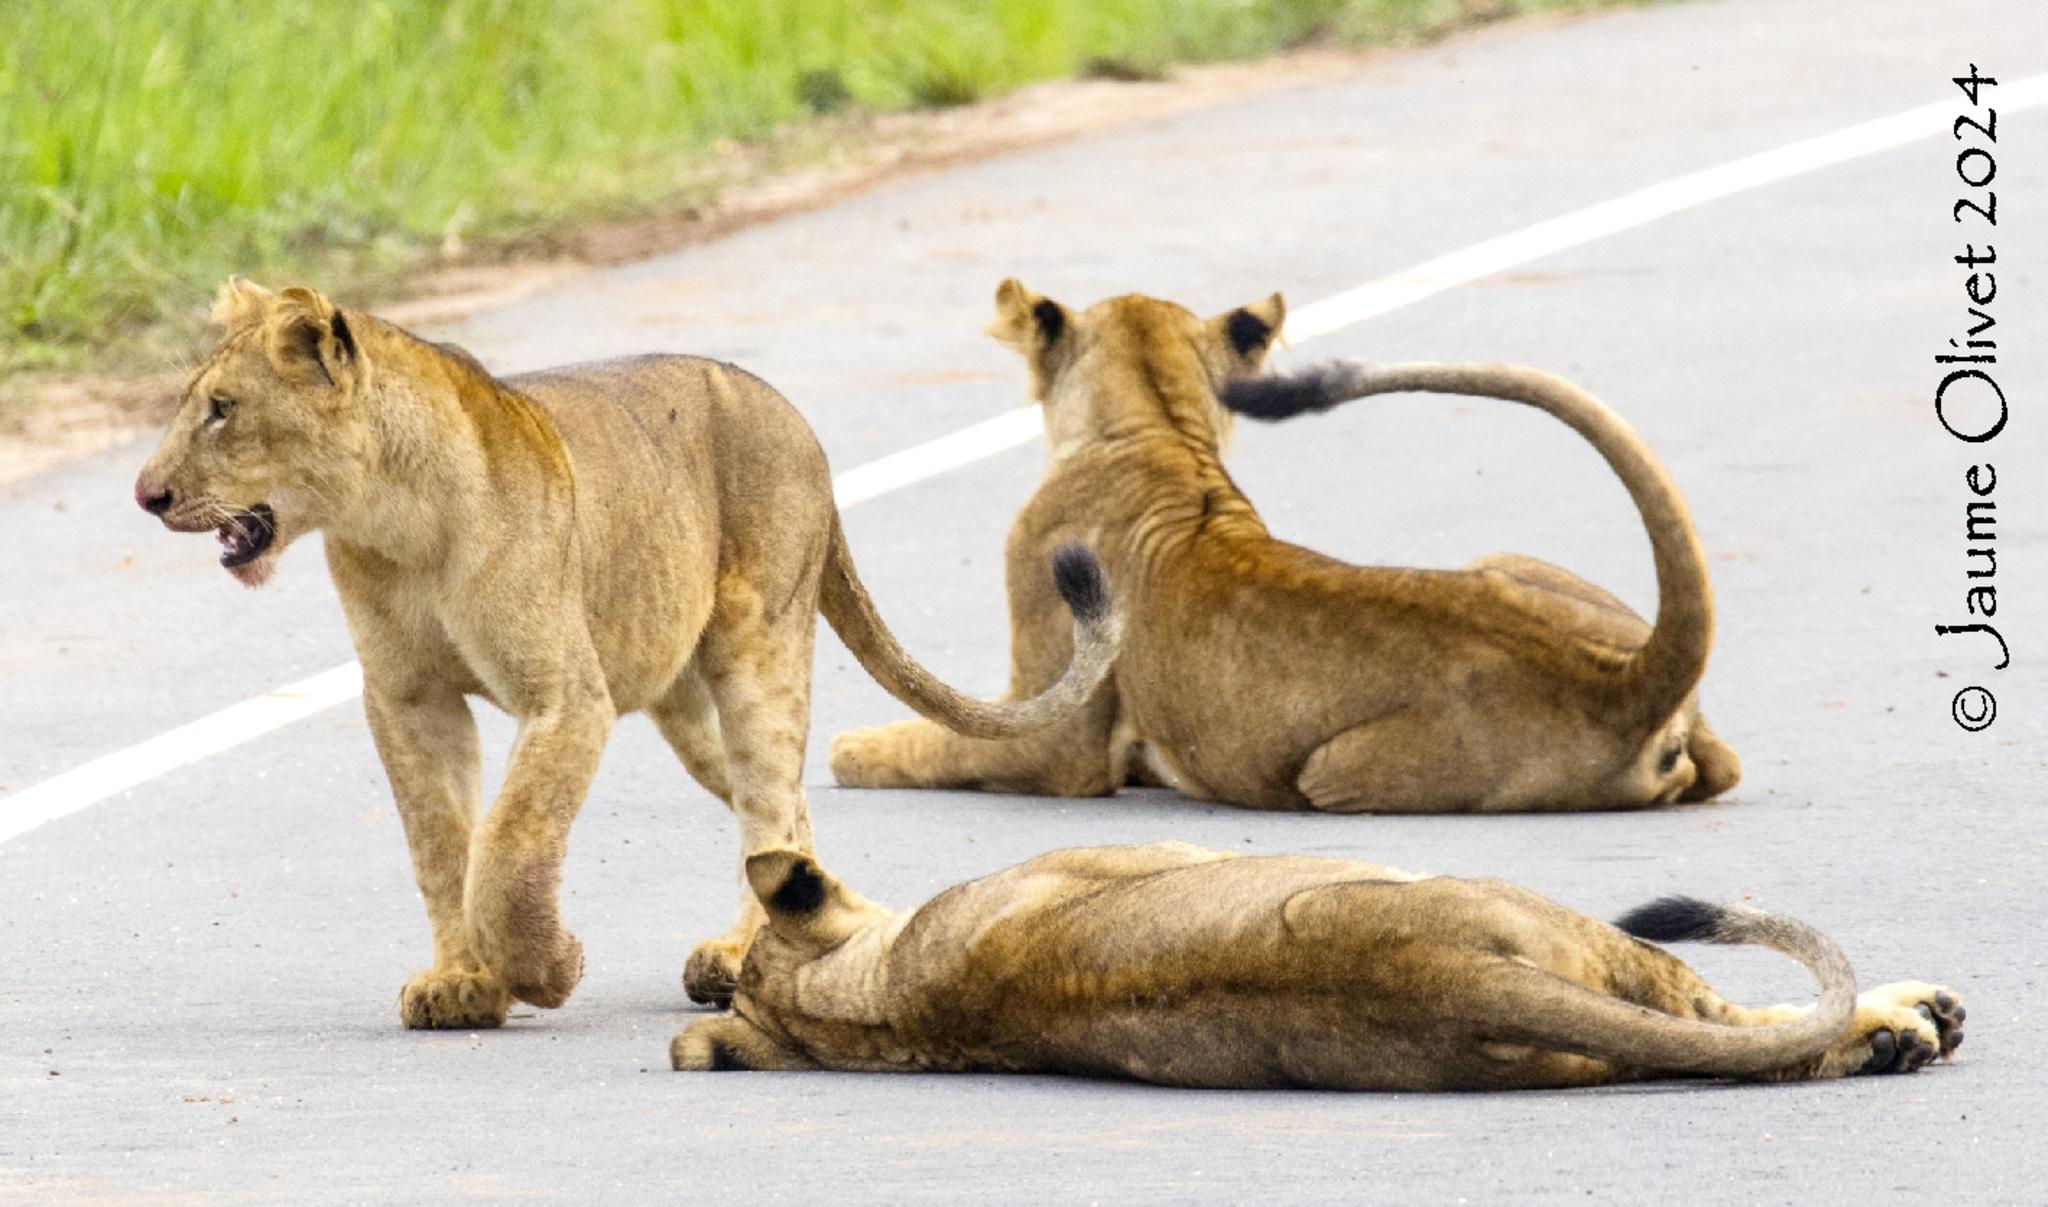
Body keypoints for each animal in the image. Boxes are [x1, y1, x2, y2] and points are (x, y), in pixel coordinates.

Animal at [132, 280, 1122, 1024]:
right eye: (190, 406)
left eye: (222, 410)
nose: (146, 494)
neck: (390, 524)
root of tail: (796, 421)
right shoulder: (407, 699)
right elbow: (441, 843)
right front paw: (462, 982)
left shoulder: (566, 695)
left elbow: (509, 841)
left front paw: (543, 968)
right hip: (683, 703)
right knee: (787, 814)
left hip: (757, 648)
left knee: (773, 800)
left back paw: (736, 959)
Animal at [831, 282, 1744, 811]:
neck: (1157, 433)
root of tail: (1621, 674)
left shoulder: (1058, 739)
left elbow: (925, 742)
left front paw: (850, 747)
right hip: (1501, 557)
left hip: (1333, 772)